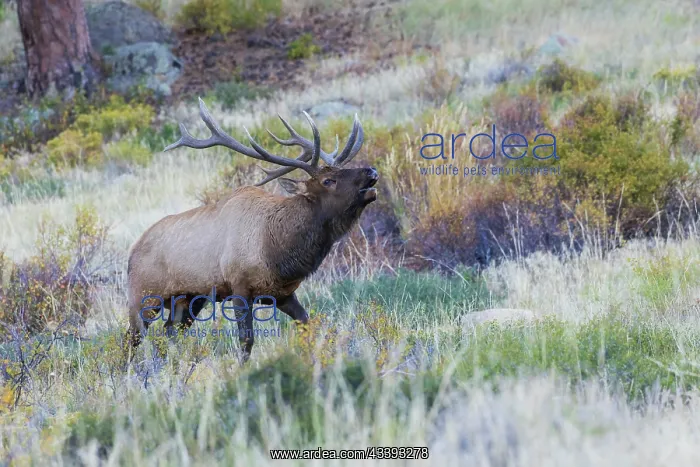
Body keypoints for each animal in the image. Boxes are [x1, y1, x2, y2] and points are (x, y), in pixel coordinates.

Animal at [126, 98, 378, 362]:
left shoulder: (282, 293)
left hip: (189, 300)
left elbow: (306, 323)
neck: (276, 251)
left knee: (169, 332)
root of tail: (131, 252)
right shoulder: (239, 287)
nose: (371, 171)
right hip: (142, 295)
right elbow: (246, 341)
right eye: (328, 181)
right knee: (132, 339)